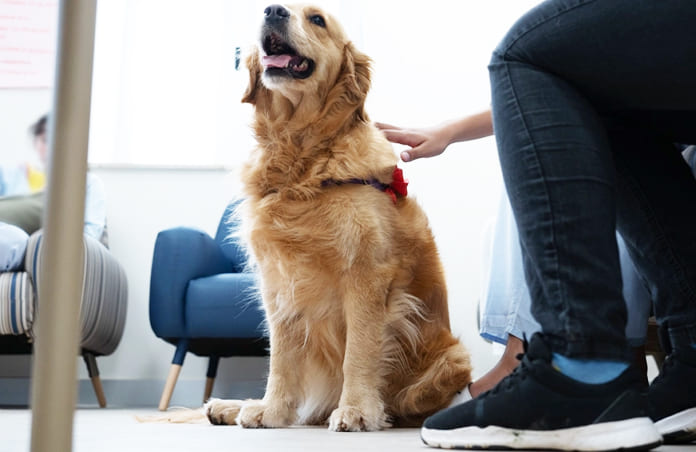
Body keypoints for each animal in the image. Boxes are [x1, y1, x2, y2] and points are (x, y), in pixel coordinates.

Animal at [203, 4, 474, 430]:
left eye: (317, 19)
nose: (273, 10)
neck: (302, 159)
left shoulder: (366, 274)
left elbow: (359, 352)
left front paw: (358, 410)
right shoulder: (278, 282)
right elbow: (281, 359)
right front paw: (271, 410)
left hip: (451, 360)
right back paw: (235, 406)